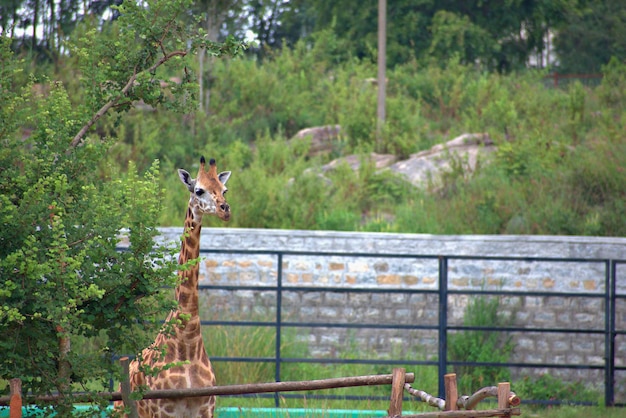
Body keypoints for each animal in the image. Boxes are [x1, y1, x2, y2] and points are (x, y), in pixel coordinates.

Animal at [116, 155, 230, 416]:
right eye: (199, 190)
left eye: (224, 190)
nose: (225, 209)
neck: (187, 339)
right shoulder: (162, 410)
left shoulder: (206, 408)